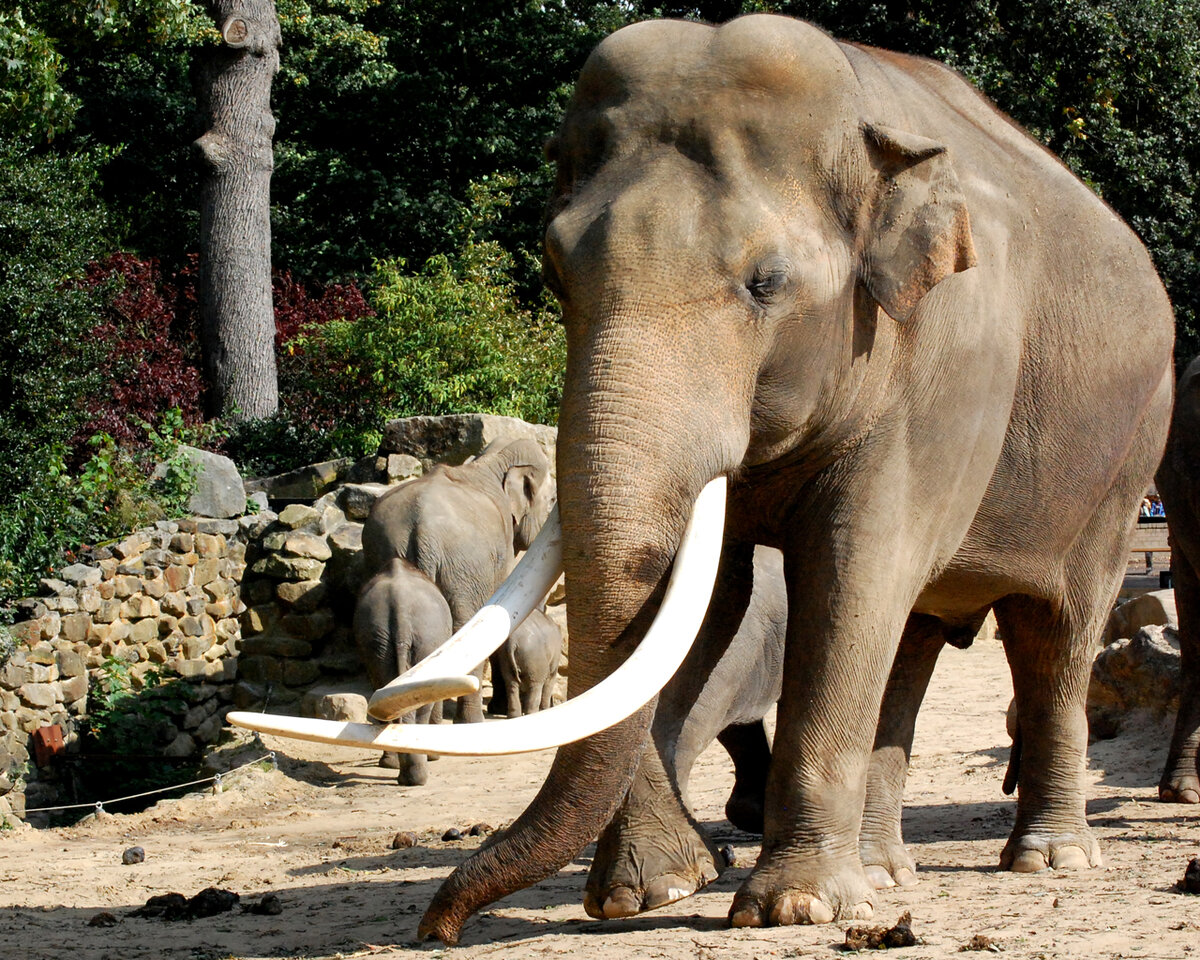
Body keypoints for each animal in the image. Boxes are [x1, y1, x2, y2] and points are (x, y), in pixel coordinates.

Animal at [355, 559, 453, 782]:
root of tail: (400, 609)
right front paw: (435, 757)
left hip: (377, 642)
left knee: (384, 691)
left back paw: (398, 769)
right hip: (426, 638)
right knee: (420, 704)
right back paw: (416, 775)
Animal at [360, 434, 556, 720]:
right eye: (552, 500)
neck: (492, 461)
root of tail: (422, 530)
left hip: (387, 550)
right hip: (465, 565)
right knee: (467, 627)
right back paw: (472, 720)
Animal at [415, 15, 1171, 940]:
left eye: (765, 283)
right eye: (555, 271)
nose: (438, 927)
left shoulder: (947, 371)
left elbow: (854, 573)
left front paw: (791, 908)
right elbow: (715, 600)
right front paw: (650, 892)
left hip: (1122, 466)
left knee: (1053, 629)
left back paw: (1046, 858)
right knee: (912, 638)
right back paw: (883, 871)